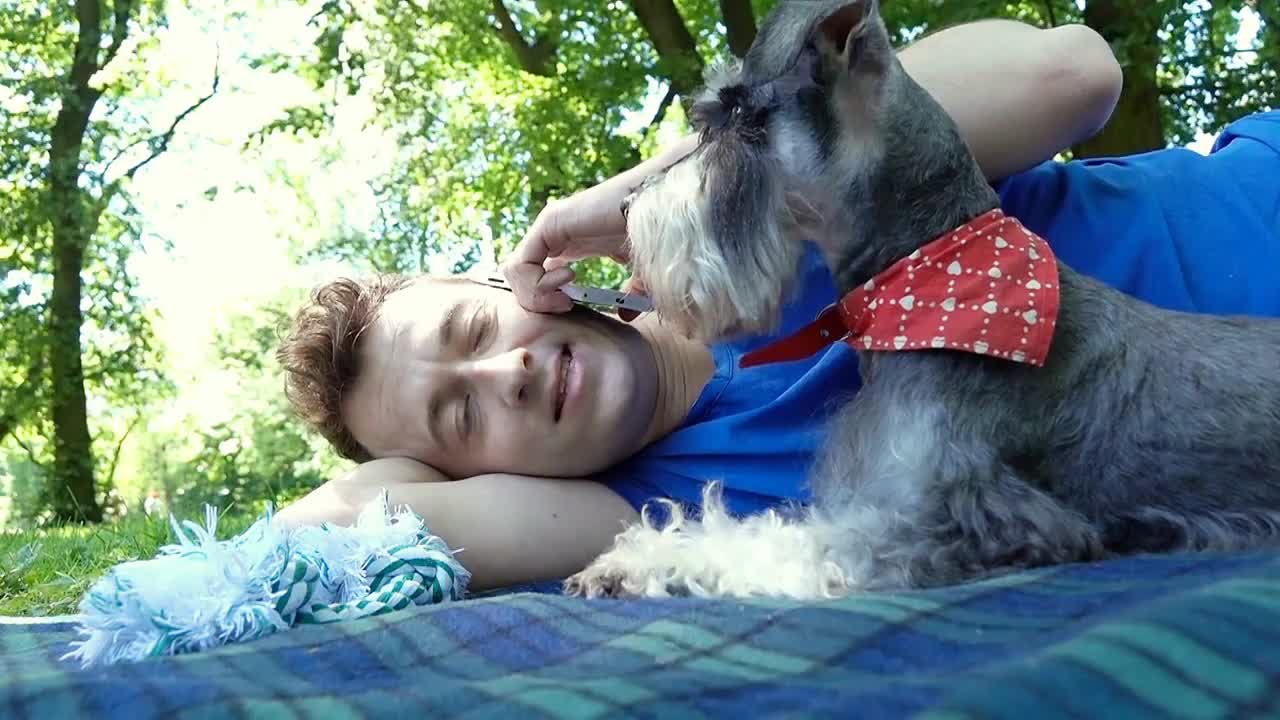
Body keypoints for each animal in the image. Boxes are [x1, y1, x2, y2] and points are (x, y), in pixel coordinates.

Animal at [565, 0, 1280, 599]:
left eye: (740, 119)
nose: (624, 209)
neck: (926, 284)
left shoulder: (947, 516)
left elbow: (787, 544)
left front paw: (648, 562)